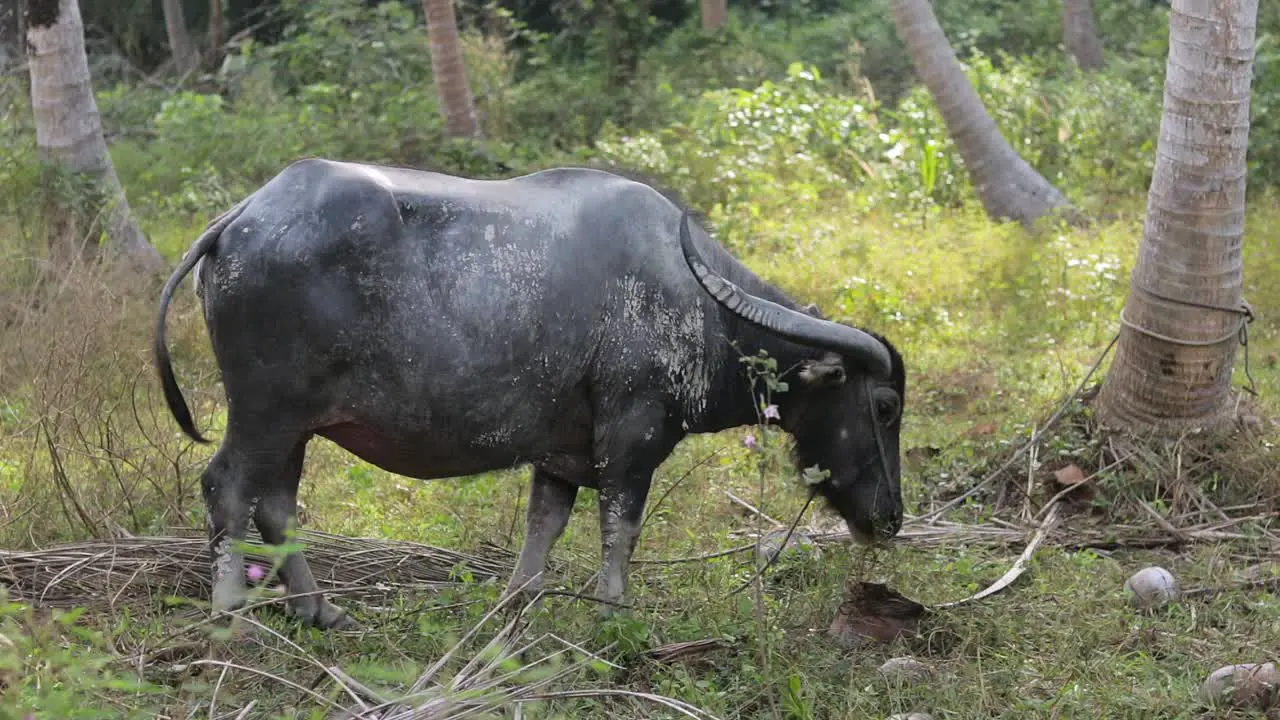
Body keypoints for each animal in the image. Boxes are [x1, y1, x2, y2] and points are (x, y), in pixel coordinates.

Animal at [154, 156, 906, 627]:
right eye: (885, 406)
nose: (892, 517)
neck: (700, 301)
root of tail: (241, 218)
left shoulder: (560, 455)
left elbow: (544, 528)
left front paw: (515, 607)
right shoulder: (633, 436)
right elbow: (620, 529)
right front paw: (613, 614)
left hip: (296, 423)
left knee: (277, 501)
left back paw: (319, 609)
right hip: (266, 412)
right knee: (229, 487)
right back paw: (231, 613)